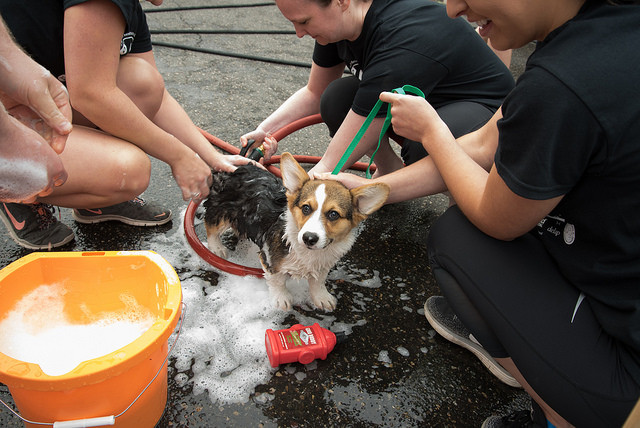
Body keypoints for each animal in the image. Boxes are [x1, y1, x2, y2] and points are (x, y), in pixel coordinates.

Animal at [204, 153, 390, 310]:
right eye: (306, 208)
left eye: (333, 214)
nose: (309, 238)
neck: (308, 253)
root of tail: (236, 168)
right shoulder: (269, 259)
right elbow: (277, 280)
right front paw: (281, 299)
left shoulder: (323, 265)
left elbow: (318, 282)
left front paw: (321, 298)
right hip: (222, 210)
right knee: (210, 225)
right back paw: (216, 247)